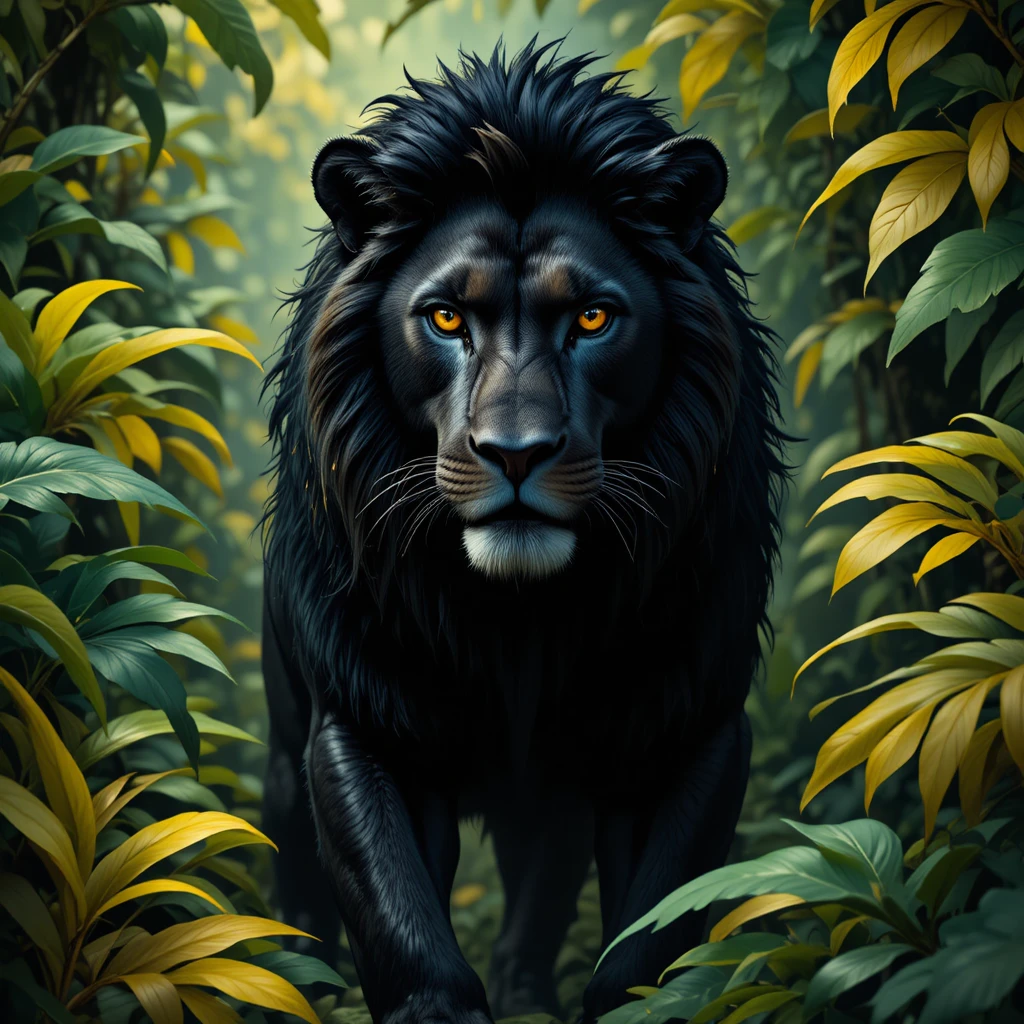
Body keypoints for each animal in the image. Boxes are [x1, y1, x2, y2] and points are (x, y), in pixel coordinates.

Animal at [261, 40, 786, 1024]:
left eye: (592, 316)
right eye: (445, 317)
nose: (515, 452)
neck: (520, 623)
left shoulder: (687, 729)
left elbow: (654, 923)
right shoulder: (365, 720)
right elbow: (393, 905)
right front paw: (434, 1006)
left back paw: (526, 987)